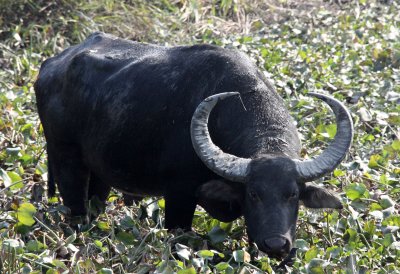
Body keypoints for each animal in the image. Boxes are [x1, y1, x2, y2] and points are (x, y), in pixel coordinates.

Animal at [35, 32, 354, 260]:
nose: (276, 244)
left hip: (100, 172)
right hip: (66, 158)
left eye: (293, 195)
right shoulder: (179, 195)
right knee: (75, 208)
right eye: (254, 193)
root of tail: (51, 66)